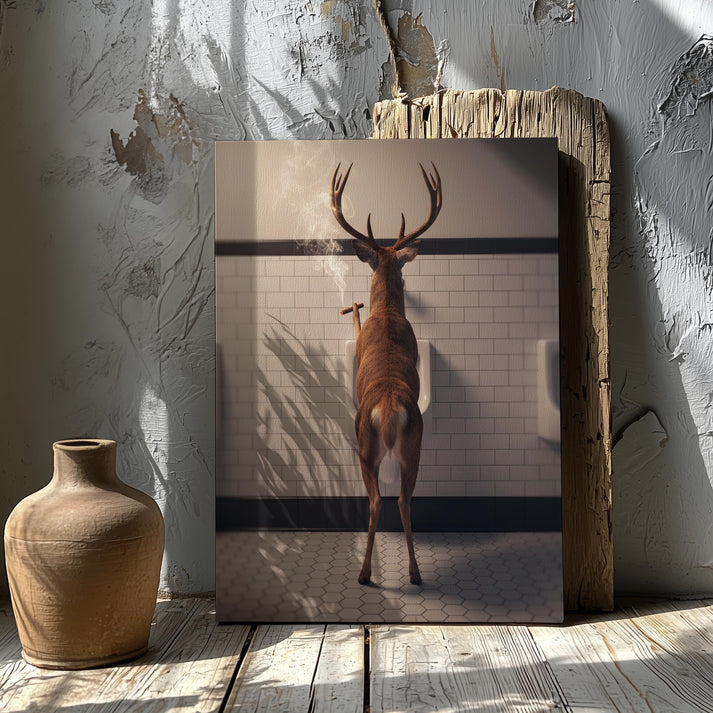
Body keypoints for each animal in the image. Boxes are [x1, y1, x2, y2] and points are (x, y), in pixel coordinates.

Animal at [331, 161, 442, 585]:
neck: (389, 312)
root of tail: (391, 404)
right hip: (416, 445)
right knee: (405, 499)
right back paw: (414, 572)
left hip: (365, 446)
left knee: (378, 500)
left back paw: (365, 573)